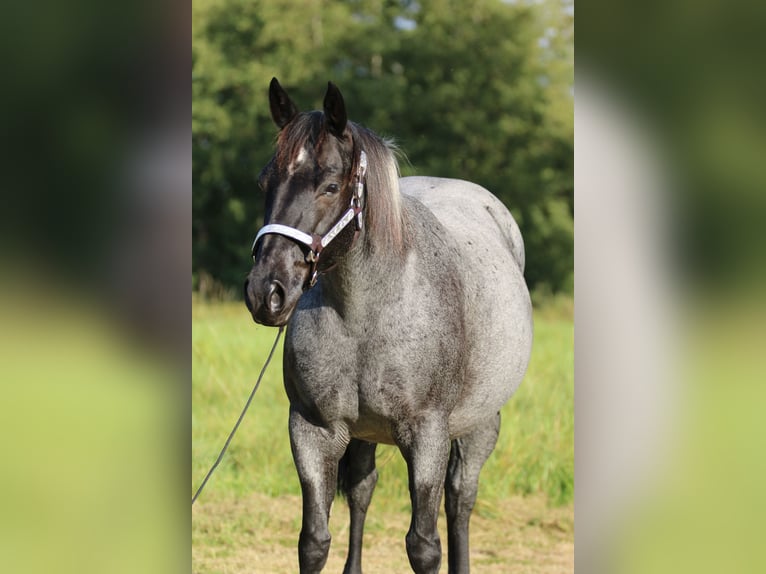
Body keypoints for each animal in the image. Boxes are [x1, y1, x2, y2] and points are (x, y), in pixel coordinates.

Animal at [246, 77, 536, 574]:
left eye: (330, 185)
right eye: (267, 182)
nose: (267, 291)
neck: (365, 316)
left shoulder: (427, 435)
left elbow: (423, 544)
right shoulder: (312, 429)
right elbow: (314, 541)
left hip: (481, 423)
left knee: (460, 498)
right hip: (365, 433)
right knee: (363, 490)